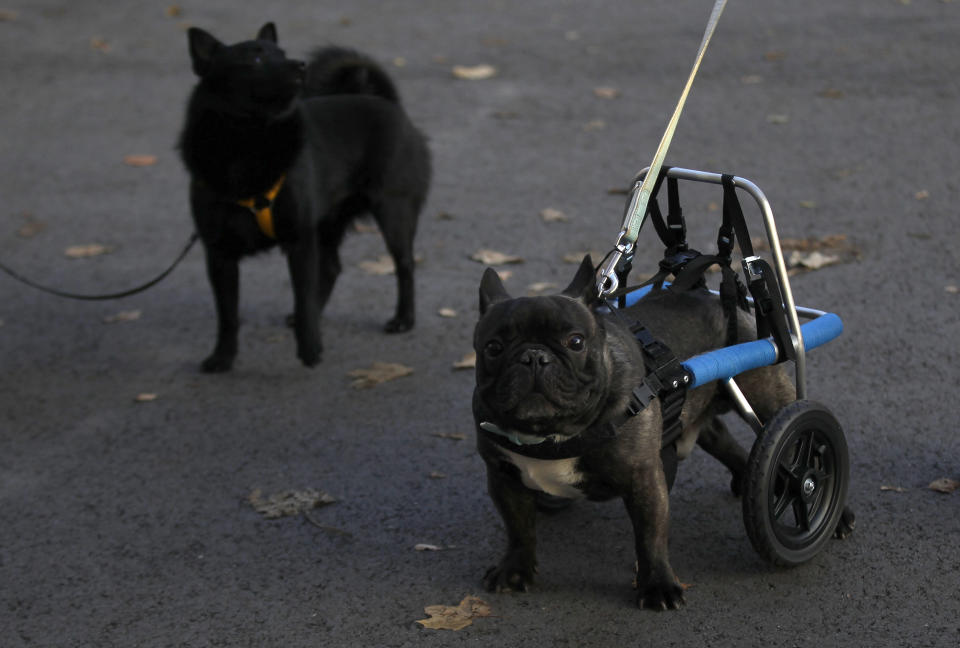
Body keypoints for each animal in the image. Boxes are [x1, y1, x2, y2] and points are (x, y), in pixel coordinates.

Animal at [177, 22, 432, 372]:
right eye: (255, 59)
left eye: (281, 53)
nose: (299, 65)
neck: (248, 141)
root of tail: (388, 103)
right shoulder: (220, 255)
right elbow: (227, 315)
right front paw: (222, 358)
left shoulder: (299, 240)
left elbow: (303, 295)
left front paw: (310, 348)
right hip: (327, 223)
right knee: (331, 268)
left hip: (392, 213)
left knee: (404, 264)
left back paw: (403, 319)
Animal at [472, 256, 796, 608]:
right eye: (493, 347)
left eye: (575, 342)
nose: (533, 356)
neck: (553, 432)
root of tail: (714, 295)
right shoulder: (504, 478)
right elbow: (518, 528)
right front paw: (514, 570)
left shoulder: (642, 477)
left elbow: (650, 536)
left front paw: (657, 585)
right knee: (722, 440)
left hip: (763, 391)